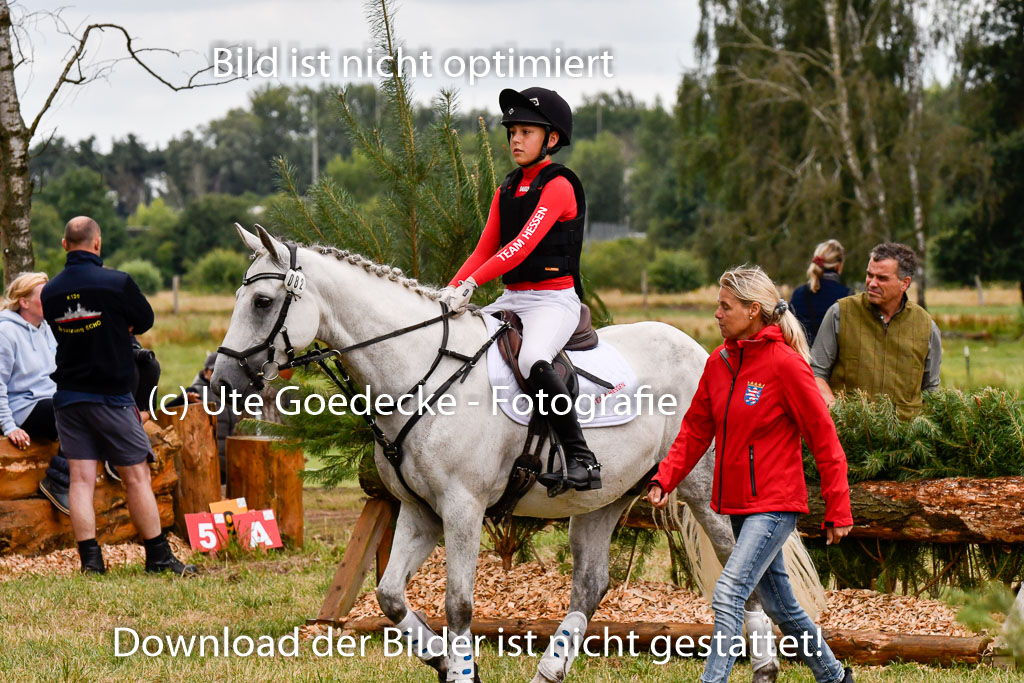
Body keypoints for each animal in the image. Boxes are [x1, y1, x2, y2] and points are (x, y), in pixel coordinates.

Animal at [209, 228, 823, 683]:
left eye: (262, 302)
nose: (220, 383)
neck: (416, 369)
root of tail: (712, 350)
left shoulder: (461, 509)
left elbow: (459, 605)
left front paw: (461, 670)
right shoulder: (420, 511)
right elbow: (389, 596)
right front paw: (443, 661)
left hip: (703, 491)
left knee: (745, 572)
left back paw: (764, 668)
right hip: (602, 498)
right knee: (591, 584)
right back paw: (549, 671)